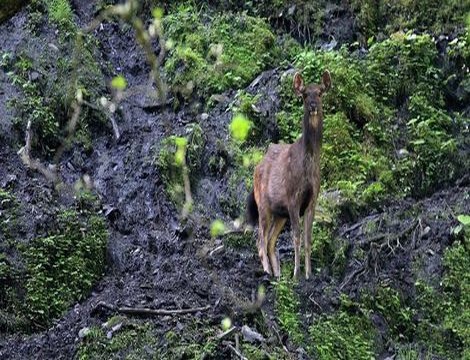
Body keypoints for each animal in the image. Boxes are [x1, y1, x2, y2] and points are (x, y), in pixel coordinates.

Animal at [246, 69, 330, 278]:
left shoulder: (312, 200)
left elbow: (308, 238)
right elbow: (296, 236)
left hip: (279, 214)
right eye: (304, 95)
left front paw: (308, 274)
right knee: (260, 240)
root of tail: (257, 167)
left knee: (270, 241)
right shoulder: (293, 198)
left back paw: (277, 274)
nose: (313, 106)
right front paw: (296, 273)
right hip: (263, 204)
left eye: (320, 93)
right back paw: (268, 272)